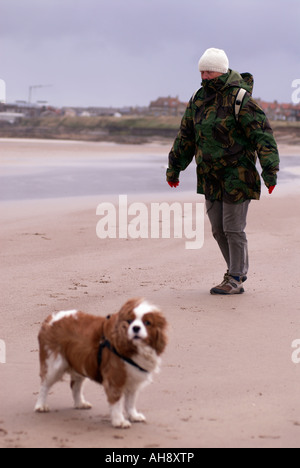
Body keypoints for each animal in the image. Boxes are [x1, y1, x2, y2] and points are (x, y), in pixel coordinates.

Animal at [34, 300, 169, 428]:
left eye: (147, 323)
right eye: (129, 321)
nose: (136, 328)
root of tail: (50, 318)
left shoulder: (133, 380)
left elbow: (130, 402)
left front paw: (133, 416)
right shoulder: (115, 379)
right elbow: (116, 402)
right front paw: (119, 421)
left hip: (80, 363)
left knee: (75, 385)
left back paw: (80, 403)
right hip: (54, 365)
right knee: (44, 385)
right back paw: (41, 405)